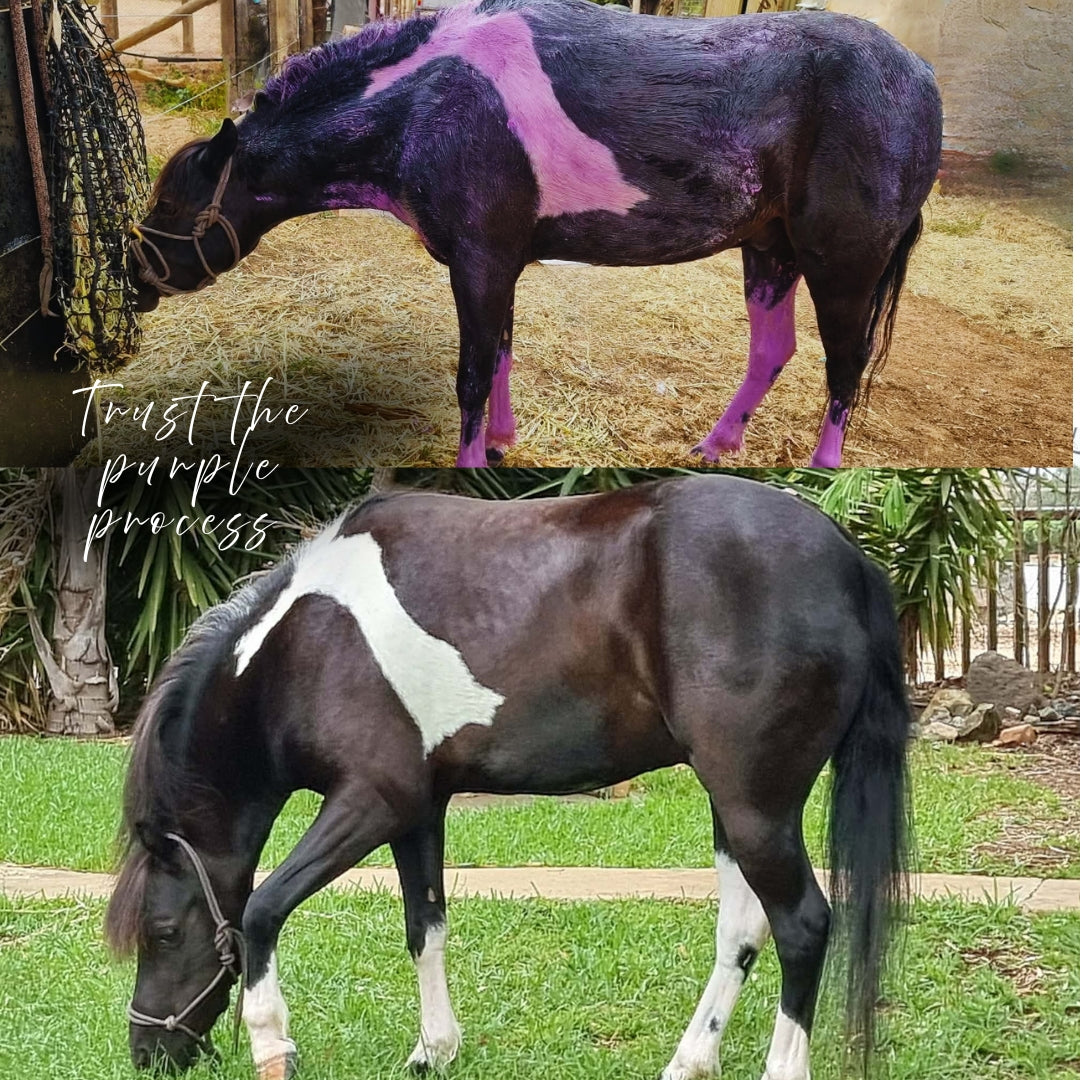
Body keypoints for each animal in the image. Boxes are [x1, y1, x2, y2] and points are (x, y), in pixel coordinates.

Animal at [105, 474, 911, 1080]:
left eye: (164, 931)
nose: (147, 1050)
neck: (307, 649)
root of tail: (849, 559)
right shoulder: (419, 809)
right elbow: (424, 926)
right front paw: (433, 1051)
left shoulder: (371, 801)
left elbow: (262, 908)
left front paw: (273, 1045)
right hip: (735, 808)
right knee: (744, 927)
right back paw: (690, 1061)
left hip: (755, 807)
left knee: (802, 925)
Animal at [129, 0, 942, 468]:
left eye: (172, 199)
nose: (135, 278)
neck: (430, 100)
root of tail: (919, 74)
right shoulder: (500, 263)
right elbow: (500, 358)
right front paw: (501, 442)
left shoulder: (481, 263)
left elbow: (470, 373)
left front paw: (471, 466)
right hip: (770, 250)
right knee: (775, 350)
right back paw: (716, 446)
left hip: (841, 265)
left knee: (844, 364)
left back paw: (822, 469)